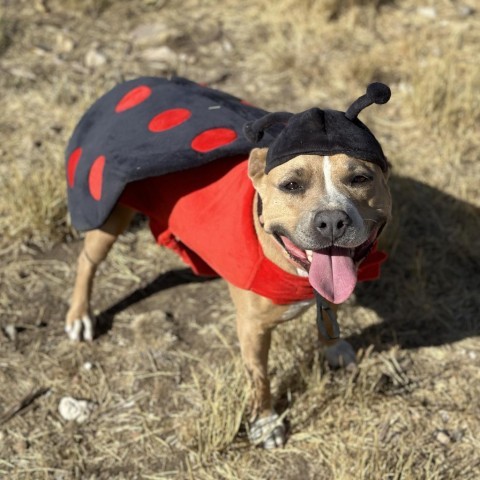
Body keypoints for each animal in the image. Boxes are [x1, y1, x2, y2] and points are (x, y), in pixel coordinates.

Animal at [64, 77, 394, 448]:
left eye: (360, 178)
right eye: (291, 185)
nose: (332, 220)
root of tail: (127, 86)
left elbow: (329, 312)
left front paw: (333, 348)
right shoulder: (252, 329)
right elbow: (261, 377)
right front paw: (265, 423)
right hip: (110, 217)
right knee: (86, 262)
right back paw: (79, 315)